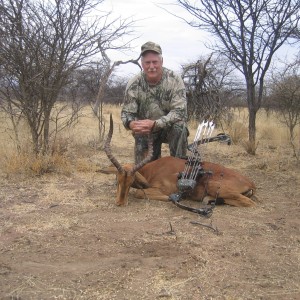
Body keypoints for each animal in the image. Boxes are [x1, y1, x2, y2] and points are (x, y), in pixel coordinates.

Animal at [101, 116, 255, 207]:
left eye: (131, 180)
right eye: (118, 179)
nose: (120, 203)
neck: (152, 170)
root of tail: (250, 182)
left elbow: (138, 193)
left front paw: (169, 198)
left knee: (249, 202)